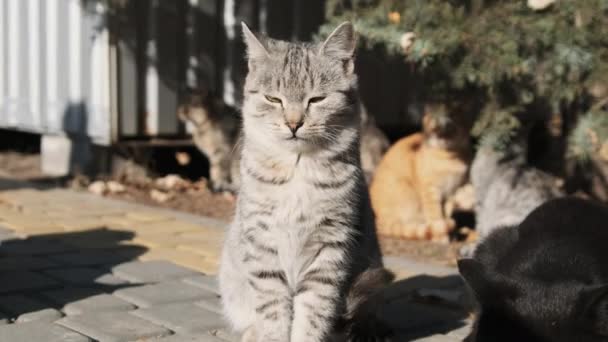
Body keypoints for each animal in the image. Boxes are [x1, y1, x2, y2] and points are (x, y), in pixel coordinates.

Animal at [220, 22, 394, 342]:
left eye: (317, 100)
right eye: (273, 99)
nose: (293, 123)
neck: (298, 167)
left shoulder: (330, 245)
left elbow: (314, 311)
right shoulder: (262, 242)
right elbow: (273, 310)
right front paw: (270, 334)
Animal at [368, 105, 472, 242]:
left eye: (449, 128)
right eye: (433, 128)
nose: (437, 133)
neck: (450, 157)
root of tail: (378, 220)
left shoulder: (451, 192)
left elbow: (446, 213)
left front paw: (450, 234)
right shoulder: (431, 191)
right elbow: (436, 217)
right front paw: (441, 237)